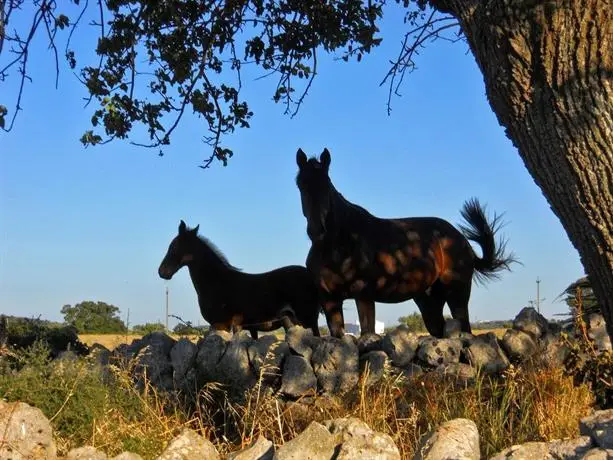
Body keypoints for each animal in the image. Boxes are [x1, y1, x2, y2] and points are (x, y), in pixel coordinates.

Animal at [296, 147, 516, 338]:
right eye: (300, 184)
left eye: (326, 184)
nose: (317, 230)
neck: (338, 245)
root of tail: (461, 240)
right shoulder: (330, 300)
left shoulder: (364, 296)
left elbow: (367, 332)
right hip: (429, 301)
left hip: (457, 294)